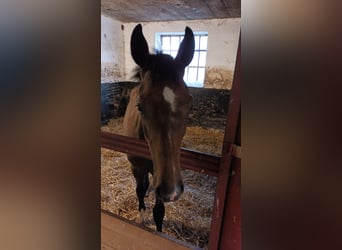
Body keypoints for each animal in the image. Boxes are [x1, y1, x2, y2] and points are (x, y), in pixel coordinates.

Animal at [123, 23, 194, 232]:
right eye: (140, 106)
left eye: (190, 105)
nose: (172, 191)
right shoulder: (136, 167)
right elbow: (139, 191)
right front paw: (141, 217)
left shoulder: (159, 173)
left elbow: (159, 212)